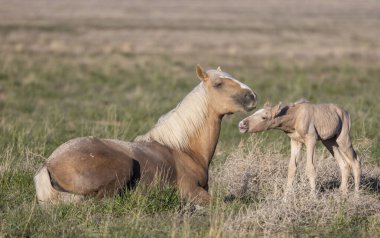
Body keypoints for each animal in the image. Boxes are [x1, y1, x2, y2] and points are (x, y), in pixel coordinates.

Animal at [34, 64, 256, 205]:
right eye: (218, 84)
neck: (183, 150)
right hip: (123, 166)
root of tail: (49, 163)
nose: (252, 96)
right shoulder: (192, 191)